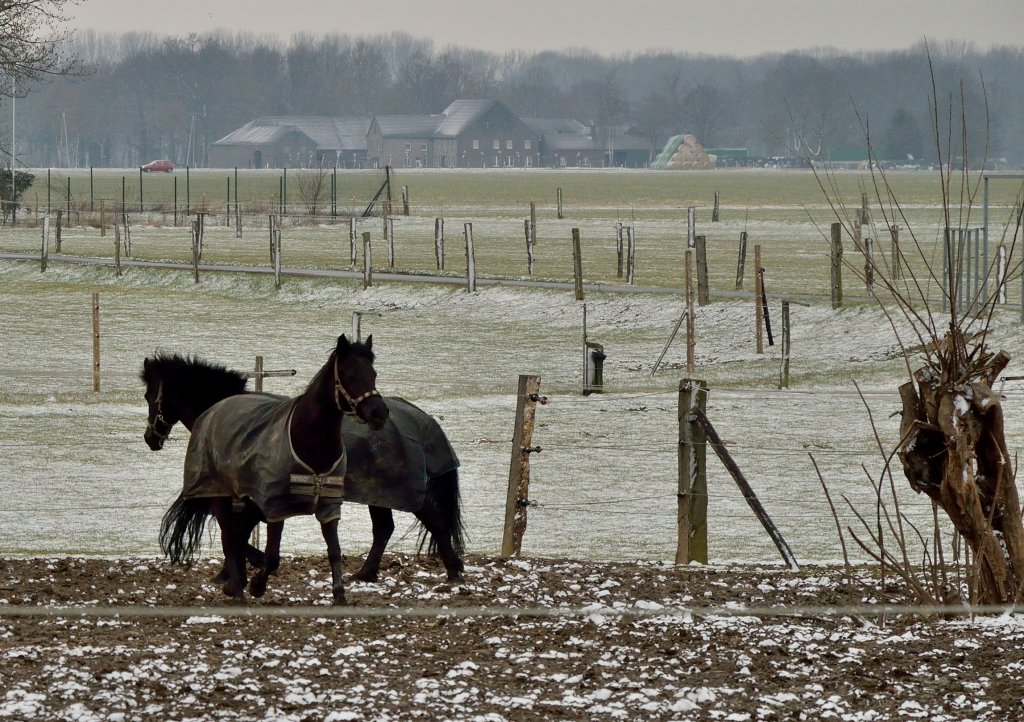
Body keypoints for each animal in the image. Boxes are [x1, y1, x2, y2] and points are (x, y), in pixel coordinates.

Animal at [143, 340, 464, 598]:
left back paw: (453, 571)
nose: (150, 438)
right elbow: (239, 533)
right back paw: (367, 573)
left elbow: (235, 535)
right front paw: (239, 576)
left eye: (148, 396)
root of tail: (422, 418)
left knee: (432, 521)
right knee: (387, 528)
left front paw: (240, 576)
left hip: (400, 491)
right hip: (378, 494)